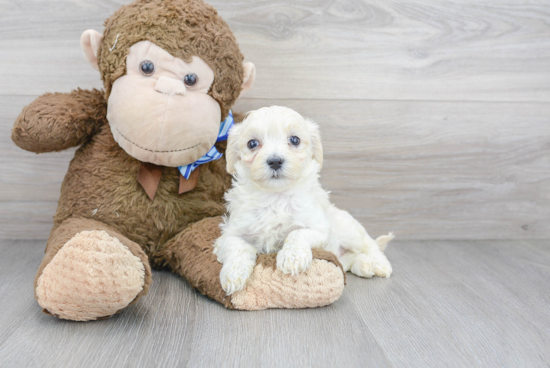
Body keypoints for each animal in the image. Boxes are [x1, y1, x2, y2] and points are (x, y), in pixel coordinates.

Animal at [213, 105, 394, 294]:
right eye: (252, 143)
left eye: (294, 140)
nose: (275, 161)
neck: (275, 197)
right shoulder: (230, 233)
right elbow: (237, 247)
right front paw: (233, 274)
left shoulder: (319, 228)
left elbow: (297, 233)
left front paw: (292, 257)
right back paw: (364, 265)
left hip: (350, 231)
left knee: (370, 245)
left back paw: (379, 265)